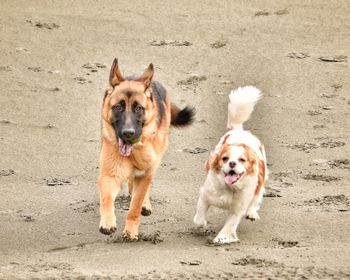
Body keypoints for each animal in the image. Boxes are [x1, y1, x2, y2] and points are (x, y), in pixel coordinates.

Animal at [99, 58, 194, 238]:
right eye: (118, 107)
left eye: (138, 108)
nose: (128, 133)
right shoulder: (109, 174)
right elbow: (106, 199)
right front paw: (107, 222)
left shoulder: (146, 174)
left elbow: (135, 207)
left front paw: (130, 231)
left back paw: (145, 203)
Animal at [193, 86, 266, 244]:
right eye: (225, 159)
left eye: (242, 160)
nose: (232, 163)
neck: (229, 188)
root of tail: (238, 130)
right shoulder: (205, 195)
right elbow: (199, 218)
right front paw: (202, 224)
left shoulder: (237, 210)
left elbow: (230, 224)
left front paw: (221, 238)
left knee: (256, 199)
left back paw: (252, 213)